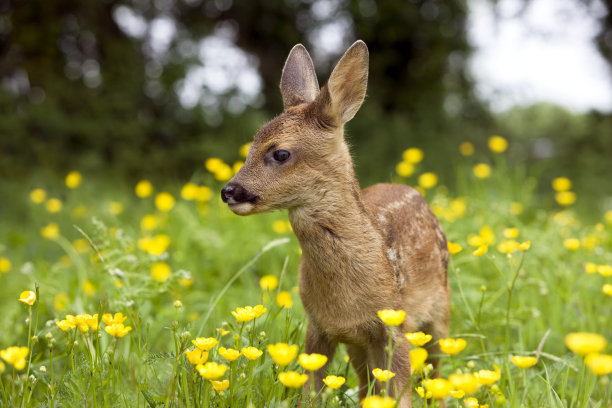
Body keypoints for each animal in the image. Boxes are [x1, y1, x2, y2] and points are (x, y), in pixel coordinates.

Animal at [220, 39, 450, 406]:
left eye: (280, 153)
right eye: (251, 144)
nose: (229, 191)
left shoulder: (394, 325)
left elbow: (400, 394)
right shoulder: (318, 328)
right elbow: (311, 392)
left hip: (440, 311)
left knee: (438, 373)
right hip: (359, 346)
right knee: (365, 384)